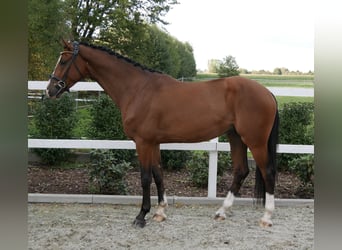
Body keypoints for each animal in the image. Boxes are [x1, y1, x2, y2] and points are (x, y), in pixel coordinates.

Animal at [46, 40, 280, 228]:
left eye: (64, 61)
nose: (50, 90)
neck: (138, 89)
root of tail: (267, 92)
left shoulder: (142, 142)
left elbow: (145, 177)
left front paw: (141, 216)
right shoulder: (154, 143)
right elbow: (158, 174)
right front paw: (160, 212)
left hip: (255, 141)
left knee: (268, 171)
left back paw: (267, 217)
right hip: (236, 137)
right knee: (241, 171)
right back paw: (222, 212)